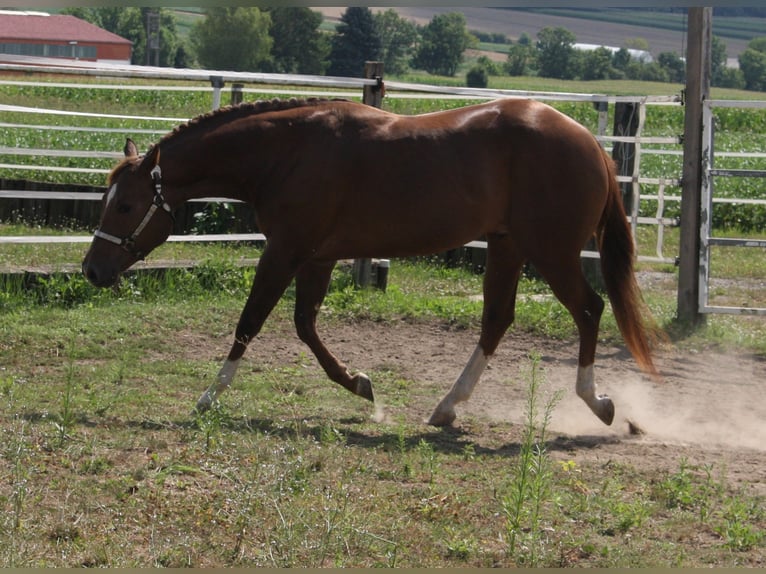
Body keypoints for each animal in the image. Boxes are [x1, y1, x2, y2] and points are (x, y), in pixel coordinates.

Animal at [82, 97, 660, 427]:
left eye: (126, 205)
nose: (92, 270)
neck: (288, 152)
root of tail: (590, 142)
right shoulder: (316, 257)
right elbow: (305, 326)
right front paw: (362, 386)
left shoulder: (285, 250)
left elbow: (250, 322)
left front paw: (207, 398)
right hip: (507, 246)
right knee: (497, 320)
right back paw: (447, 408)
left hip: (551, 251)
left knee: (589, 310)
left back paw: (599, 403)